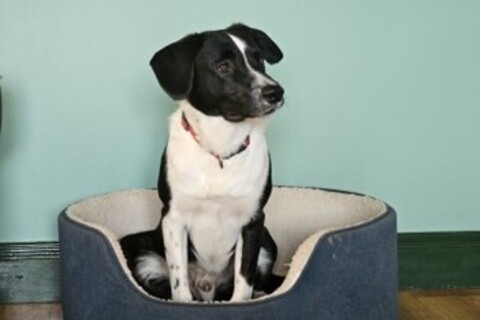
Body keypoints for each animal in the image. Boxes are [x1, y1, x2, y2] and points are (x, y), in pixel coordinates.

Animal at [121, 23, 284, 302]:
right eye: (224, 67)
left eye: (258, 59)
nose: (276, 92)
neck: (221, 147)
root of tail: (209, 288)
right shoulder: (173, 219)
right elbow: (180, 287)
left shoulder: (253, 221)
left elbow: (243, 285)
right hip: (141, 252)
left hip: (268, 242)